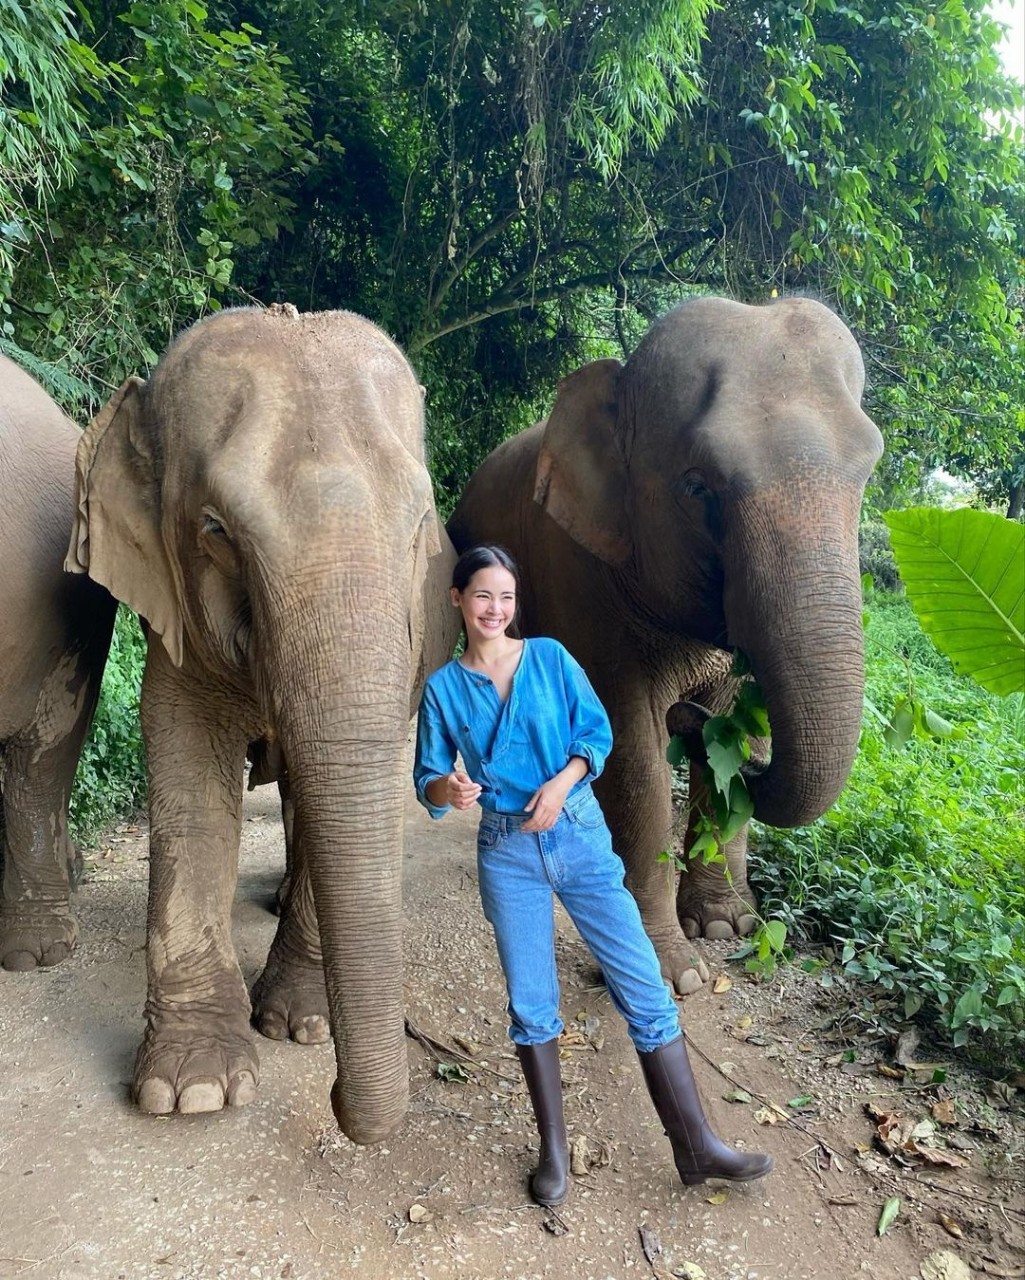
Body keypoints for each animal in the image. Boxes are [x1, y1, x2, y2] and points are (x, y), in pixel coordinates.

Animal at [65, 304, 460, 1143]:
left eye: (420, 527)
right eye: (214, 529)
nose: (340, 1101)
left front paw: (300, 1028)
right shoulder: (173, 626)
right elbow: (185, 763)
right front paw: (190, 1091)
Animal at [448, 295, 883, 995]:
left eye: (868, 473)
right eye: (697, 486)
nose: (687, 714)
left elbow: (738, 737)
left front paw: (727, 928)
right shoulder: (579, 574)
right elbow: (632, 758)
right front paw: (674, 974)